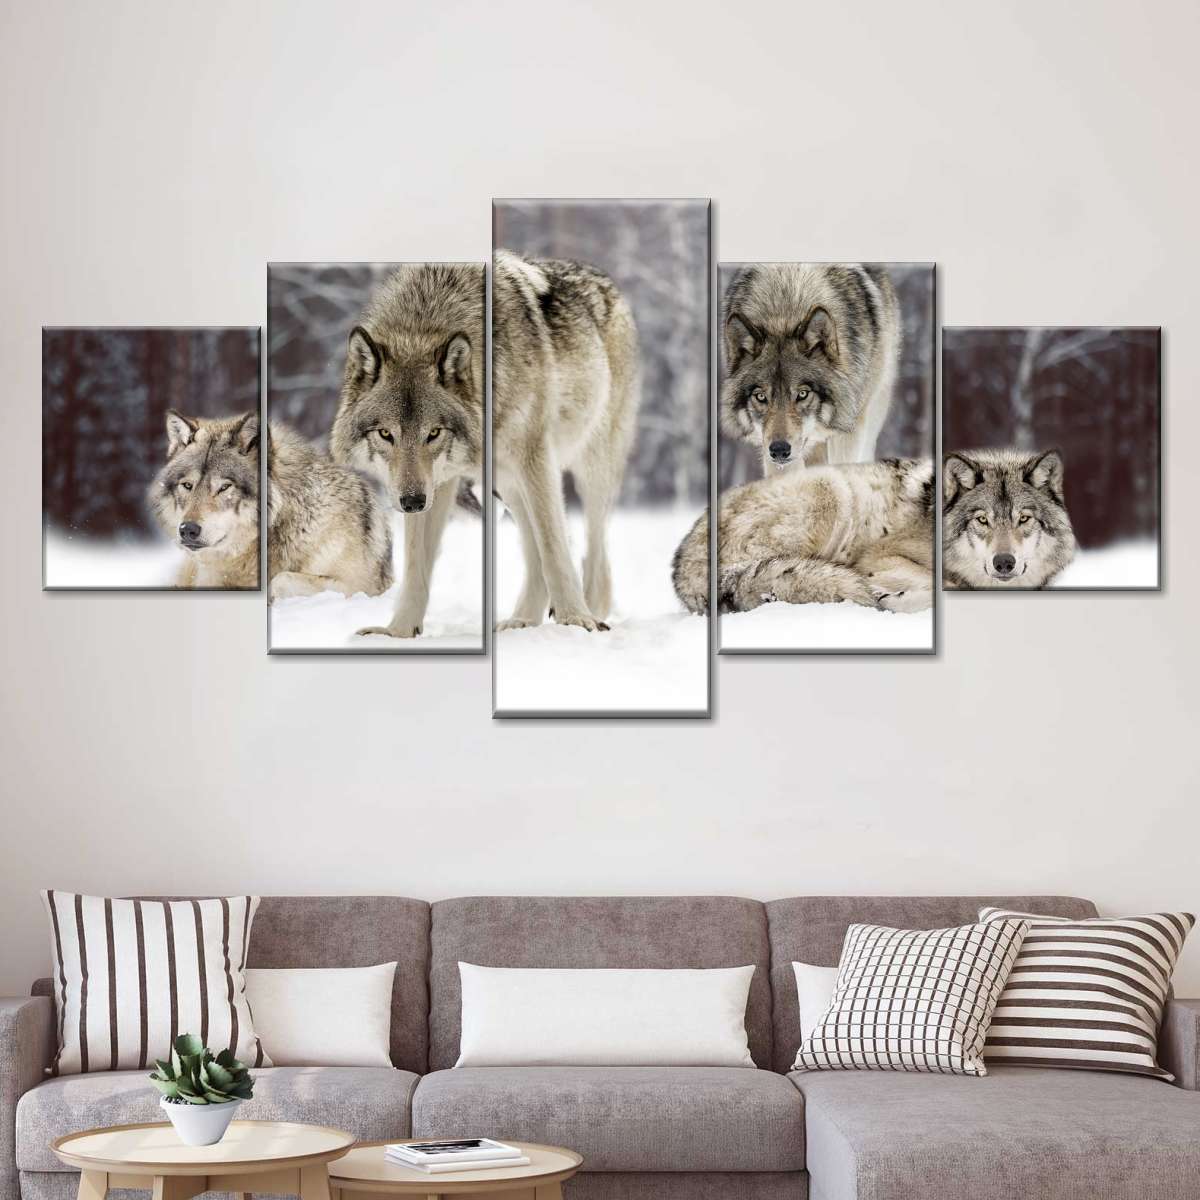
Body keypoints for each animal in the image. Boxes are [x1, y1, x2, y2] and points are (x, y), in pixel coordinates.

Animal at [330, 263, 485, 638]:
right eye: (386, 434)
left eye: (434, 433)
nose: (412, 502)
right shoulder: (431, 487)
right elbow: (417, 560)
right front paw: (399, 632)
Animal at [492, 249, 639, 632]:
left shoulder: (534, 454)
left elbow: (555, 546)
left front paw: (576, 618)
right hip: (509, 482)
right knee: (537, 553)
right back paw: (522, 620)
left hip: (592, 470)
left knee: (594, 559)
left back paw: (589, 613)